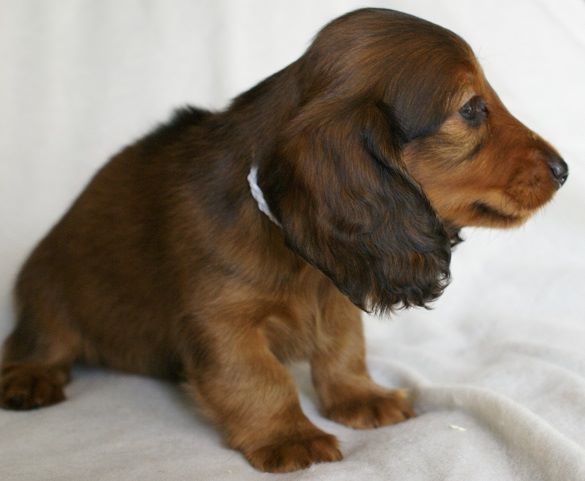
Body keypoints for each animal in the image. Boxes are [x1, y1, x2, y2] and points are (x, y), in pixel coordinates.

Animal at [0, 8, 567, 473]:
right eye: (471, 109)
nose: (564, 171)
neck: (284, 238)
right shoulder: (220, 319)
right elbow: (258, 377)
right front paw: (288, 435)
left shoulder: (337, 292)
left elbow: (343, 350)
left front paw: (361, 398)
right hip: (50, 292)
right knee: (38, 342)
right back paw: (30, 377)